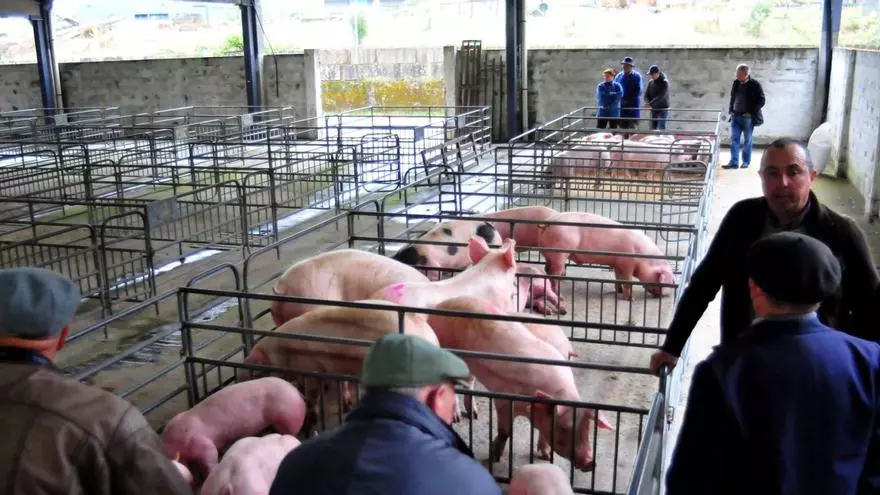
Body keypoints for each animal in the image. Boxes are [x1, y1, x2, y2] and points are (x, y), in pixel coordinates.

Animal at [242, 300, 441, 431]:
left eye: (256, 373)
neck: (281, 351)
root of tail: (433, 340)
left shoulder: (312, 367)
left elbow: (313, 394)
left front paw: (312, 417)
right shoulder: (338, 367)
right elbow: (343, 384)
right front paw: (347, 404)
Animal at [427, 297, 614, 471]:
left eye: (588, 427)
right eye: (564, 428)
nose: (590, 462)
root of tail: (441, 304)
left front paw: (545, 456)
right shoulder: (503, 400)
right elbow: (505, 432)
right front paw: (492, 459)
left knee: (469, 382)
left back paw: (474, 414)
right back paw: (456, 417)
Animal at [536, 212, 676, 301]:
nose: (664, 296)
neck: (644, 258)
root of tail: (549, 222)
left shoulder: (618, 264)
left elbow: (618, 278)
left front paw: (618, 291)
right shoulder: (627, 263)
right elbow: (627, 281)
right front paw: (631, 299)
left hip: (551, 254)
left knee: (547, 269)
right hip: (560, 253)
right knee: (554, 273)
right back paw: (561, 296)